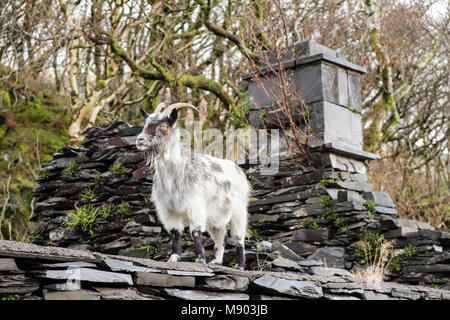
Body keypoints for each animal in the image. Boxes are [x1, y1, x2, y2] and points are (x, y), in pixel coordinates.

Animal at [135, 103, 251, 270]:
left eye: (163, 126)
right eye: (145, 124)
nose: (139, 140)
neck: (173, 176)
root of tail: (238, 171)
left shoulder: (195, 206)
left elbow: (195, 232)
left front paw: (200, 259)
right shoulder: (169, 210)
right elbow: (175, 232)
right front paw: (173, 258)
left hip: (238, 210)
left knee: (238, 236)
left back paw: (239, 265)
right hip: (215, 215)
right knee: (220, 236)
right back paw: (216, 261)